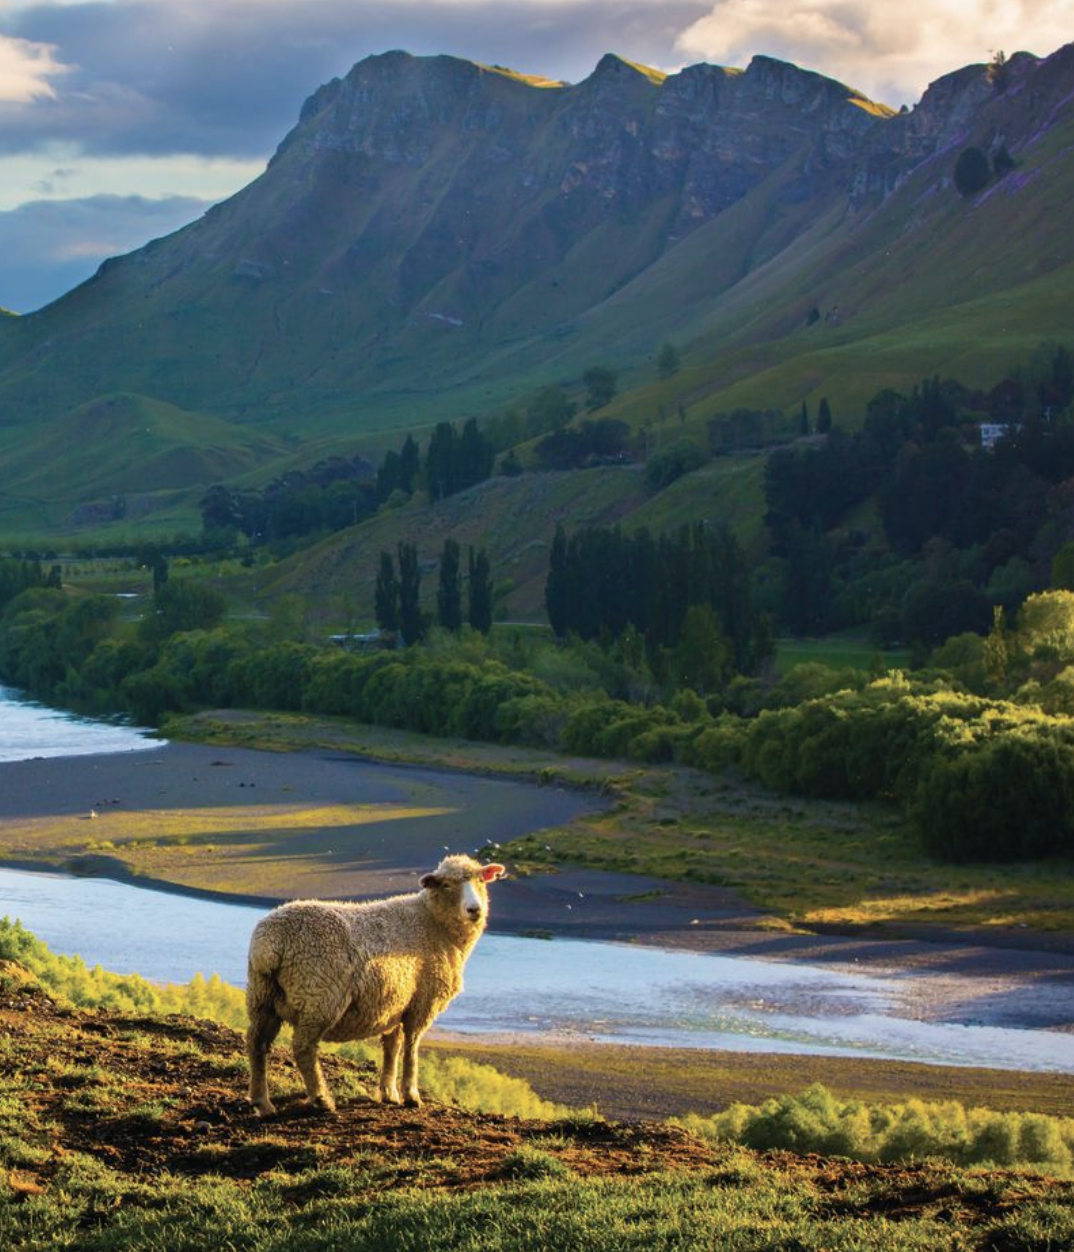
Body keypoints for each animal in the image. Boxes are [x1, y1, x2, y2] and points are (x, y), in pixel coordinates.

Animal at [245, 853, 506, 1115]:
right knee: (303, 1048)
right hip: (318, 996)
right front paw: (411, 1095)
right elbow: (411, 1048)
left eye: (481, 880)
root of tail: (271, 942)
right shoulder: (423, 1002)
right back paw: (321, 1099)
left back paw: (262, 1102)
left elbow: (392, 1047)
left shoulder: (397, 1004)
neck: (432, 921)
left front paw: (389, 1093)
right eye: (446, 885)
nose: (474, 909)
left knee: (257, 1043)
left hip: (263, 996)